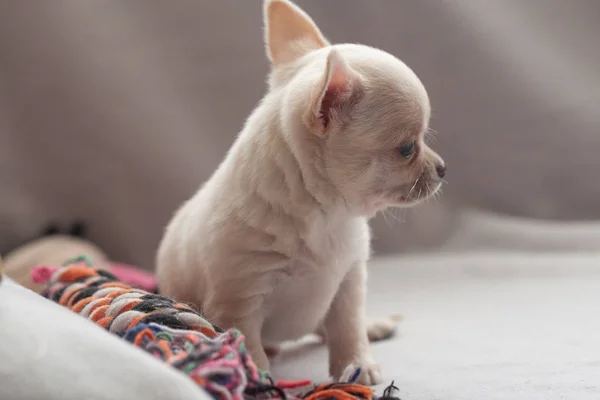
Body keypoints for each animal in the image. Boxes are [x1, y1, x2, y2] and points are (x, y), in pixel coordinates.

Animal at [156, 0, 446, 386]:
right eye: (407, 148)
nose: (443, 168)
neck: (327, 214)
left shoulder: (349, 283)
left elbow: (347, 328)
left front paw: (357, 365)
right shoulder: (239, 305)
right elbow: (251, 349)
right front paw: (259, 381)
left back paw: (373, 326)